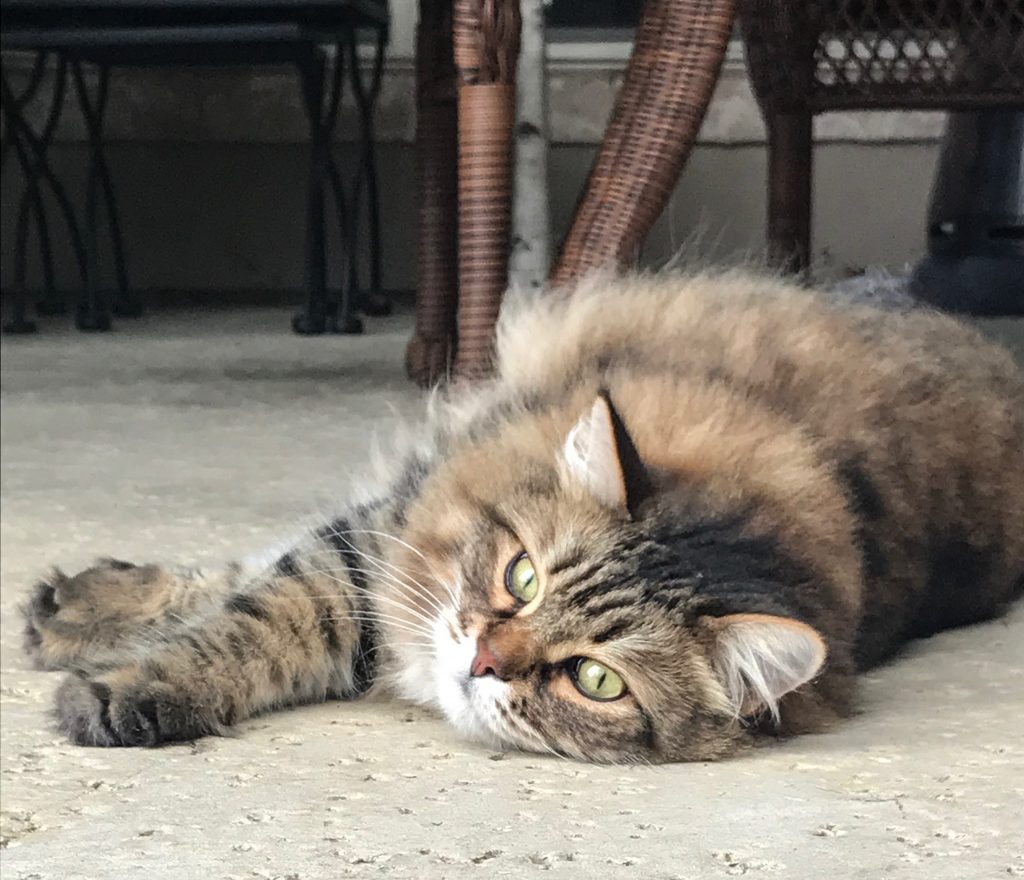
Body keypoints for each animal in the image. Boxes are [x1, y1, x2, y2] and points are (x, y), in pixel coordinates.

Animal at [24, 274, 1024, 762]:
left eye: (597, 681)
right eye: (522, 576)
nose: (482, 659)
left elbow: (247, 620)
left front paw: (125, 681)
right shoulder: (371, 548)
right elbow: (245, 612)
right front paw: (108, 659)